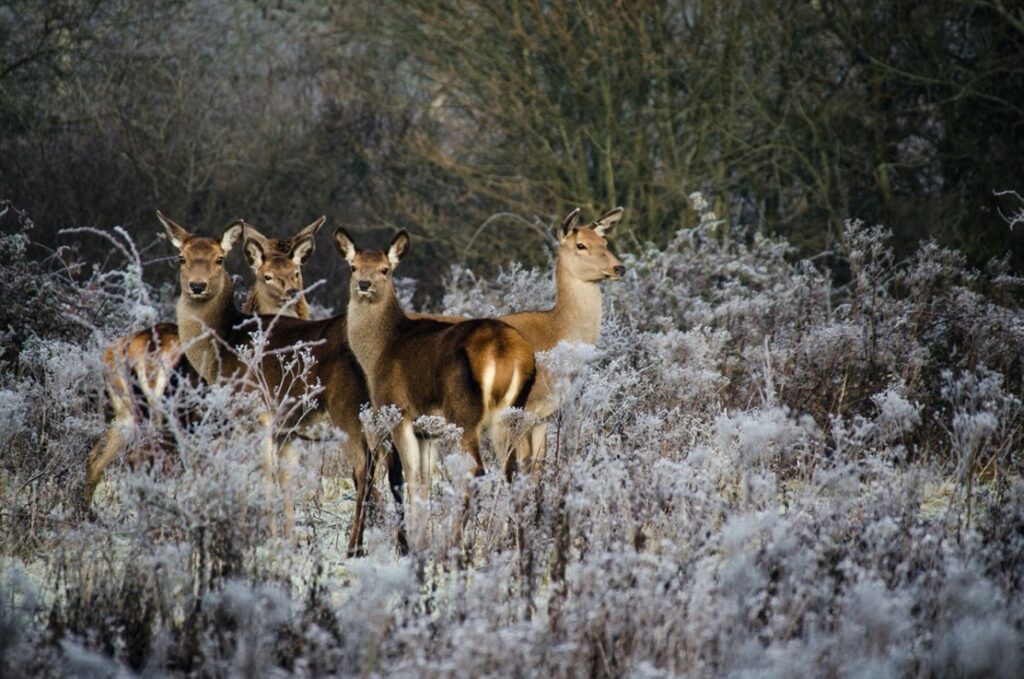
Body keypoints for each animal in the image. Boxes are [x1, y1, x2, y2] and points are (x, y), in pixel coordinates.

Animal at [80, 218, 323, 510]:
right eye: (265, 274)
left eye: (297, 271)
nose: (292, 293)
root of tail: (111, 352)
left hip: (124, 411)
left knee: (97, 458)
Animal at [333, 227, 536, 548]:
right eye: (353, 267)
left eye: (385, 269)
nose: (364, 284)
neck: (377, 354)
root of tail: (506, 352)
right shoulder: (427, 432)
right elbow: (423, 483)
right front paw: (421, 539)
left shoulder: (398, 412)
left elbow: (405, 478)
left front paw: (413, 545)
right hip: (510, 415)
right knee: (515, 474)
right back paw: (515, 545)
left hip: (462, 413)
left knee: (475, 471)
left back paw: (454, 542)